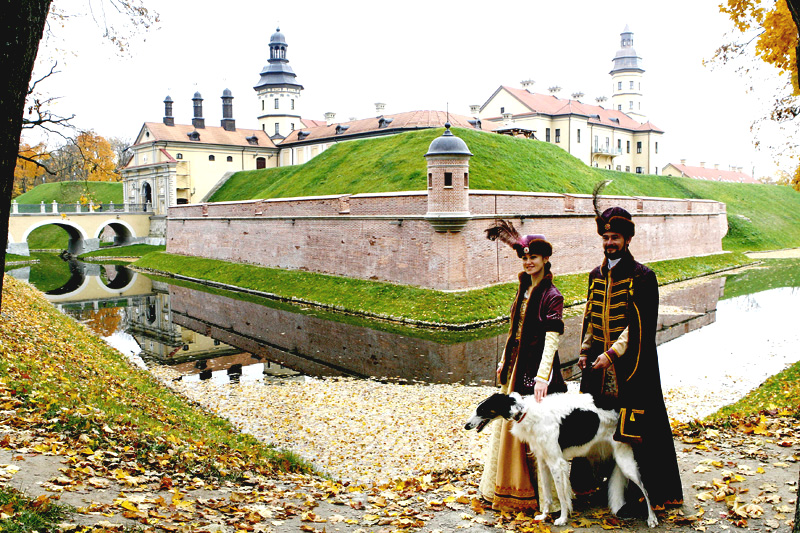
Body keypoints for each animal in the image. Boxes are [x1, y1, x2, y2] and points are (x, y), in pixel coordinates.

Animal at [462, 392, 656, 524]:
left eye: (482, 409)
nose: (466, 426)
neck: (526, 412)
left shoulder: (557, 463)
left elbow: (562, 496)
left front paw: (562, 519)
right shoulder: (543, 461)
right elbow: (547, 495)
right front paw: (543, 515)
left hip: (625, 462)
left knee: (645, 490)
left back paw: (652, 519)